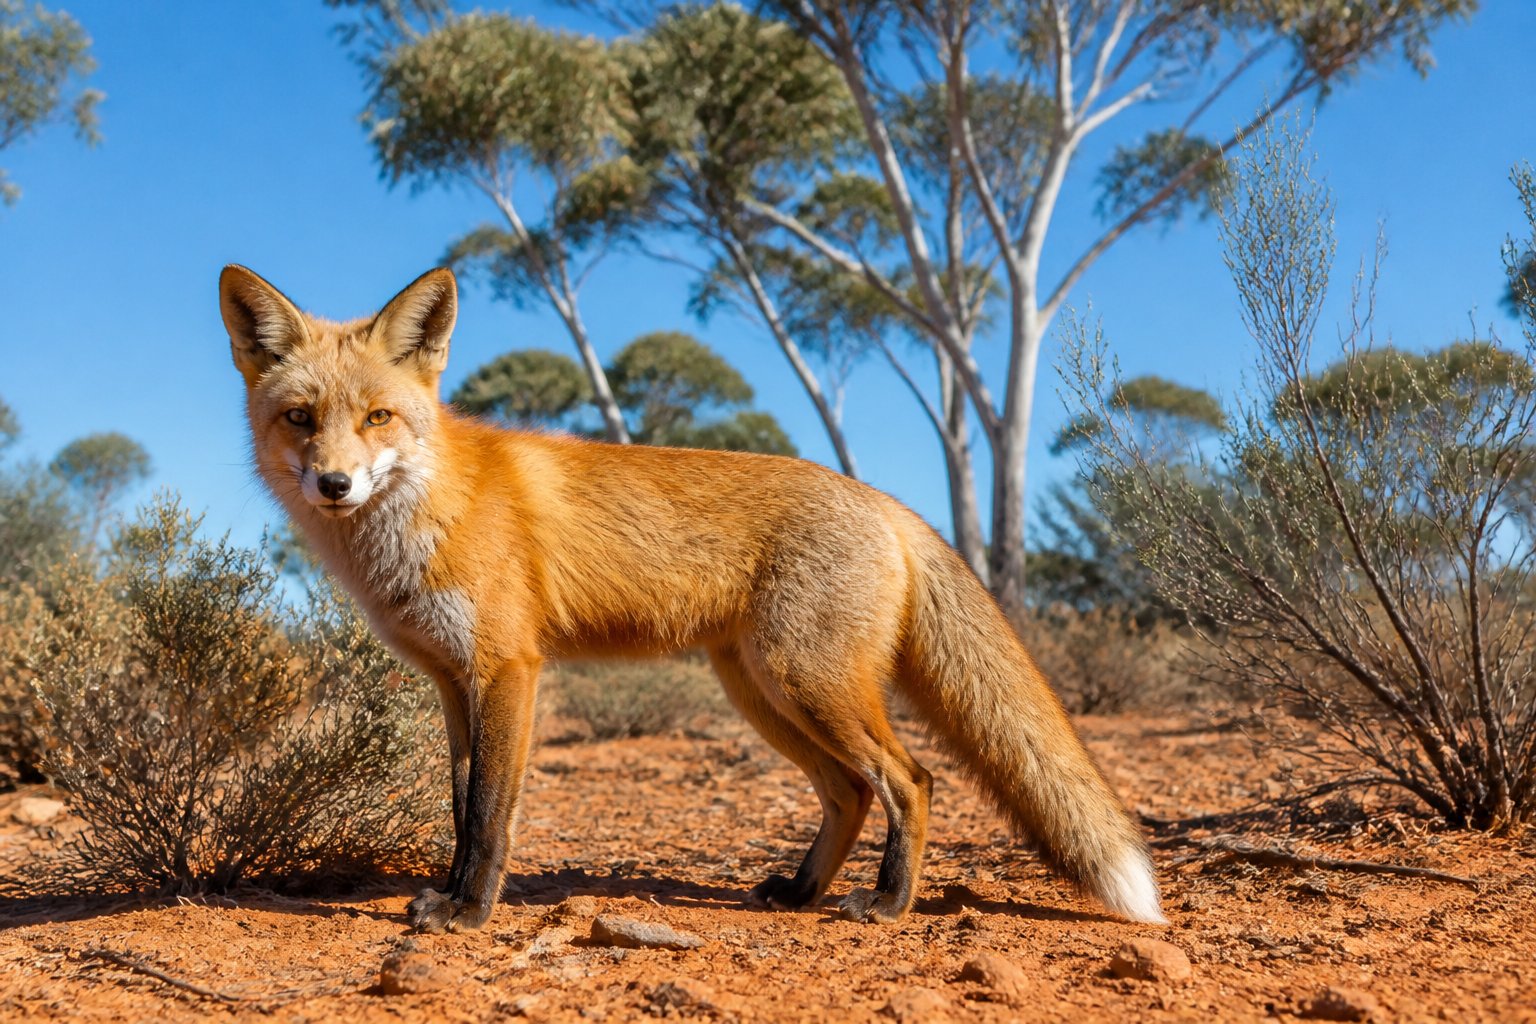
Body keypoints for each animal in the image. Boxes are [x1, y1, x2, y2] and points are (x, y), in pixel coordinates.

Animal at [219, 263, 1165, 934]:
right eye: (301, 419)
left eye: (378, 418)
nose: (334, 484)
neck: (429, 508)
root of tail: (885, 501)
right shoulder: (454, 683)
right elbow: (460, 808)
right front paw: (452, 896)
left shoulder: (509, 669)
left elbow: (489, 815)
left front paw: (469, 912)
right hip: (762, 692)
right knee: (850, 793)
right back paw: (802, 892)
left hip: (809, 683)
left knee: (912, 780)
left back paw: (887, 904)